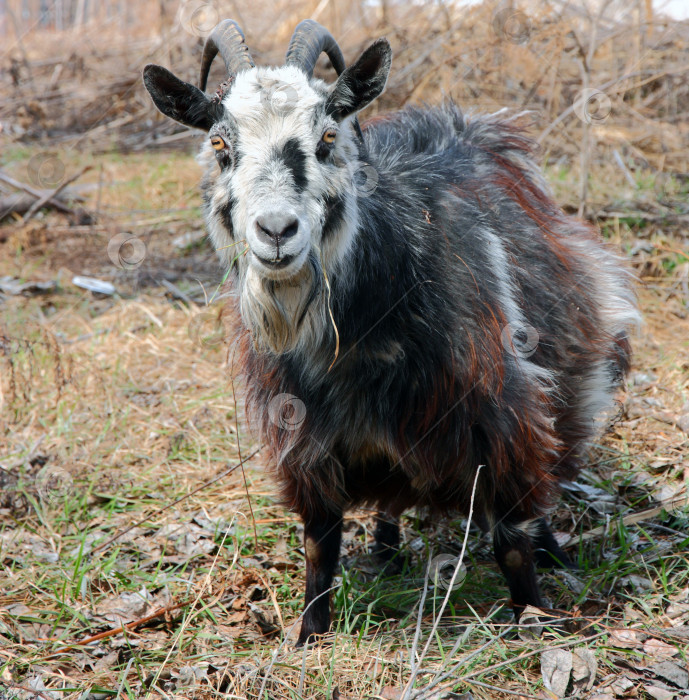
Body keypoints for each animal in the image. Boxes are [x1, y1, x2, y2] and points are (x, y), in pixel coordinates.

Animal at [144, 19, 640, 644]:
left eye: (328, 136)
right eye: (219, 144)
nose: (276, 231)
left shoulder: (497, 416)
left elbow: (509, 540)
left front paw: (534, 618)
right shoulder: (305, 438)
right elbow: (319, 546)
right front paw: (309, 636)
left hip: (571, 371)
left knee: (547, 469)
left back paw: (552, 546)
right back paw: (385, 546)